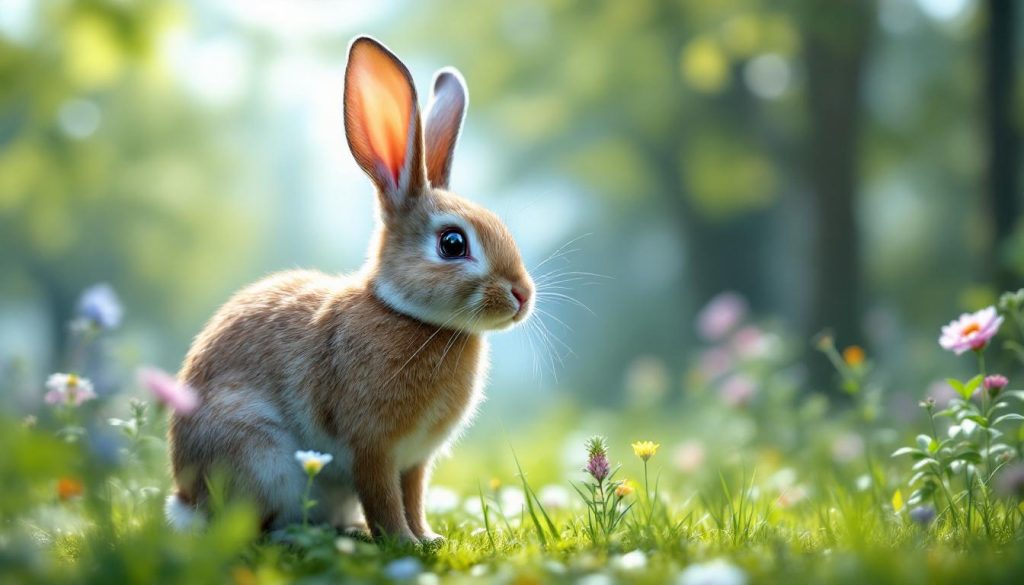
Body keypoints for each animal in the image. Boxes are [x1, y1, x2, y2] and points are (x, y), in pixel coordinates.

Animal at [165, 36, 534, 543]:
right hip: (259, 457)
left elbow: (413, 497)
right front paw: (402, 541)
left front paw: (427, 537)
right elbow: (384, 499)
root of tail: (186, 501)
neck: (411, 317)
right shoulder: (371, 448)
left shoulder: (415, 460)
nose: (523, 296)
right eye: (453, 243)